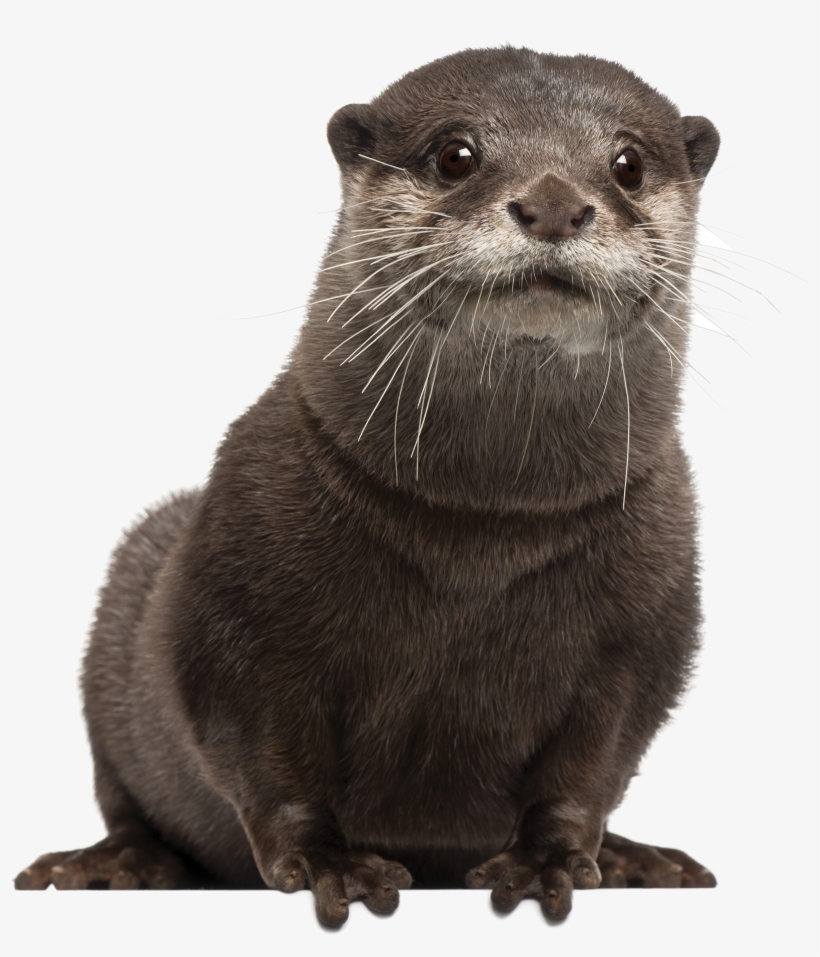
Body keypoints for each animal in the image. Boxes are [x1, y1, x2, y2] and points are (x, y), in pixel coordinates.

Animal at [15, 47, 720, 925]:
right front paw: (332, 863)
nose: (555, 203)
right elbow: (265, 754)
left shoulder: (646, 626)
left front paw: (550, 861)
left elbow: (593, 765)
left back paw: (640, 858)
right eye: (455, 154)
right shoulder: (238, 588)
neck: (482, 529)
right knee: (127, 798)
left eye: (628, 164)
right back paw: (115, 862)